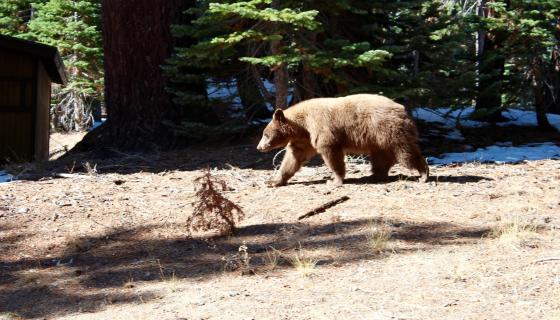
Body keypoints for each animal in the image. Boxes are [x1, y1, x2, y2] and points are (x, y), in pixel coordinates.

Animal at [256, 94, 430, 186]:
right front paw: (274, 180)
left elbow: (331, 153)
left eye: (265, 134)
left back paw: (423, 173)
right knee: (381, 157)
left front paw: (335, 180)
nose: (259, 147)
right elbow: (293, 158)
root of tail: (403, 109)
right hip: (379, 139)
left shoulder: (321, 129)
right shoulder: (304, 139)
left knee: (406, 153)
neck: (302, 125)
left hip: (389, 131)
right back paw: (375, 175)